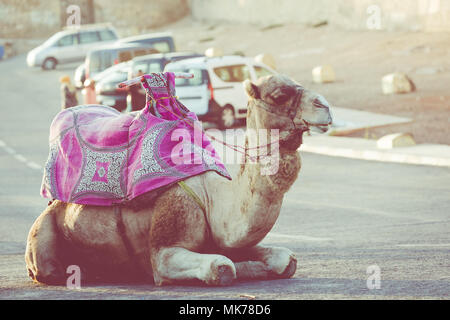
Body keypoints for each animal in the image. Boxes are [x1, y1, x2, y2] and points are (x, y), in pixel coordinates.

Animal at [26, 74, 332, 286]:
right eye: (280, 95)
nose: (326, 107)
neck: (213, 198)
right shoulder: (165, 247)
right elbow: (223, 268)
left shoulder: (227, 239)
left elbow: (285, 260)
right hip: (44, 235)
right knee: (48, 269)